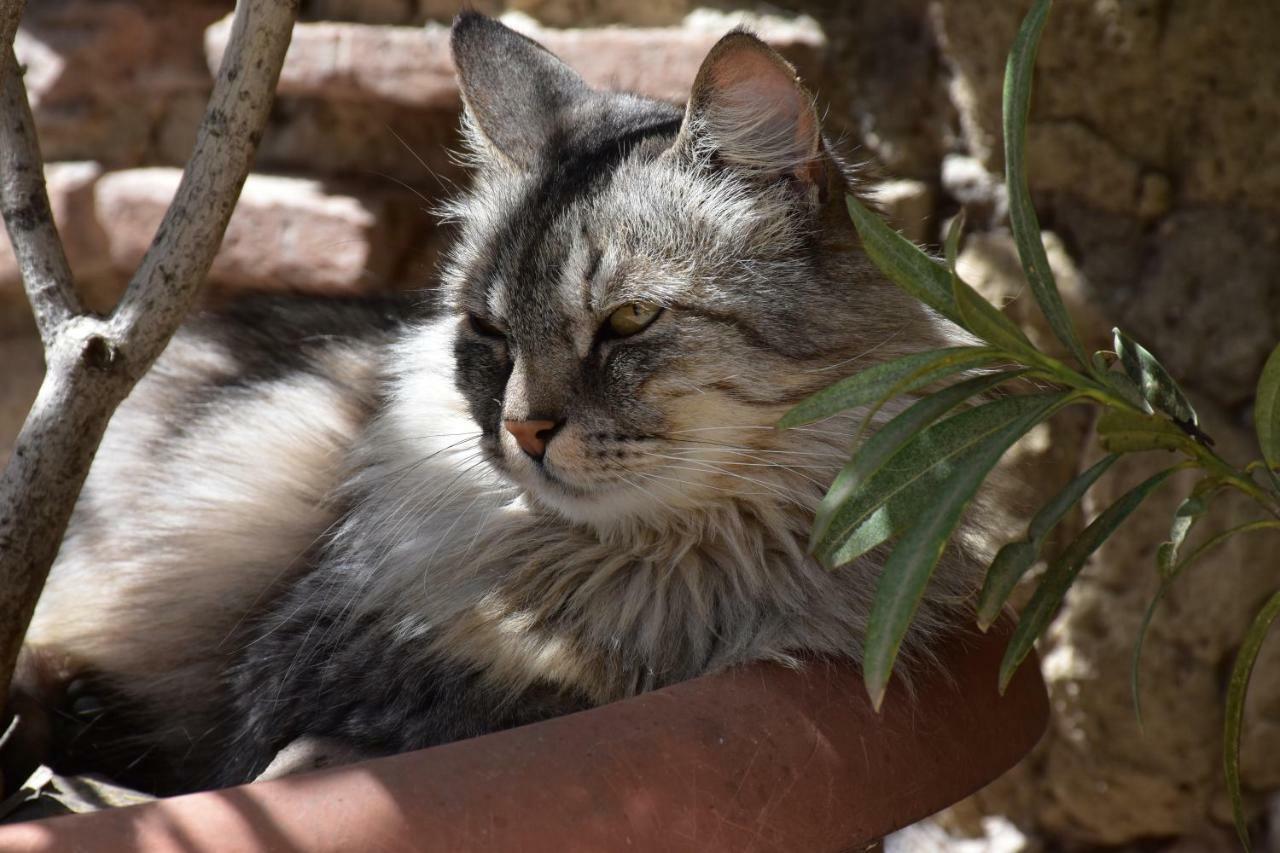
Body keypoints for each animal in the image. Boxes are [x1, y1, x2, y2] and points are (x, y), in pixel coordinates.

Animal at [12, 11, 977, 788]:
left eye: (629, 320)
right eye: (489, 330)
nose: (524, 429)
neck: (669, 570)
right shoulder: (306, 669)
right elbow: (511, 702)